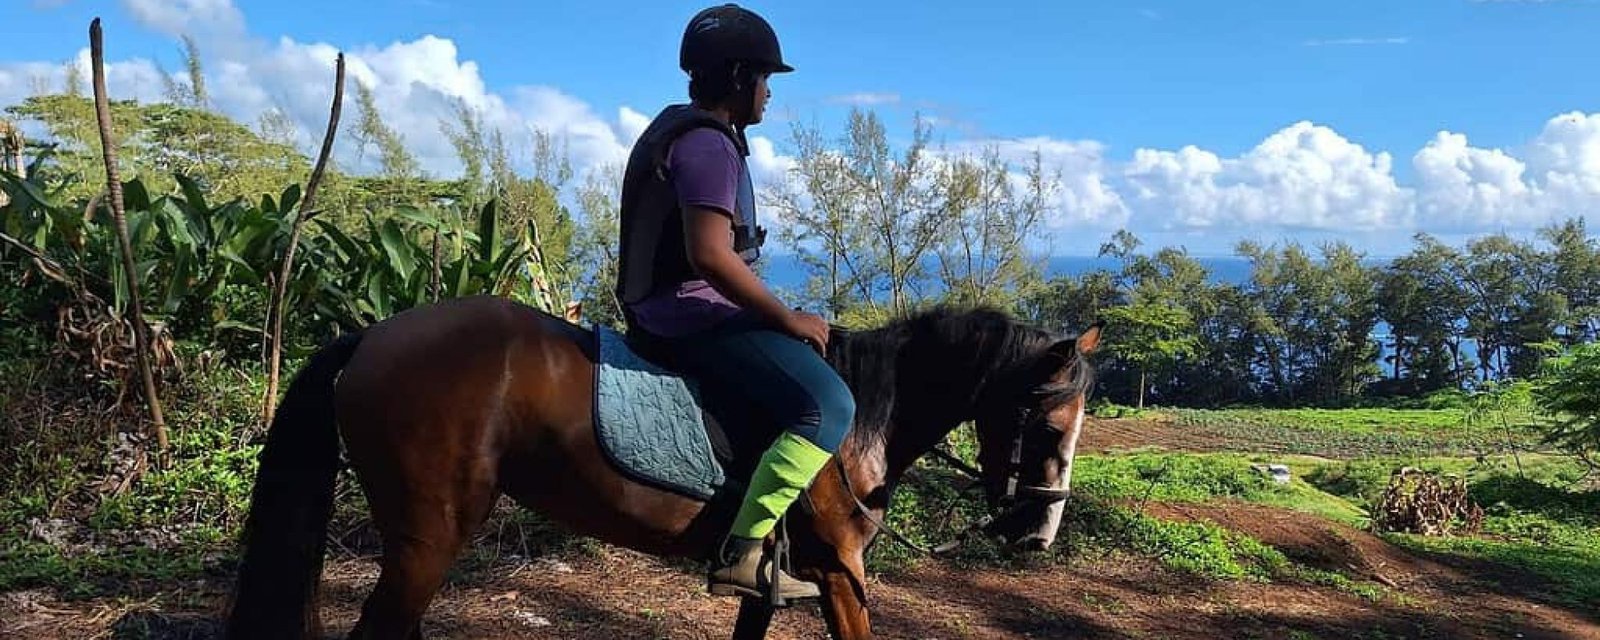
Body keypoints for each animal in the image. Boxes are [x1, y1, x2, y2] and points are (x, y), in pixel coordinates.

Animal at [222, 294, 1103, 639]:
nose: (1040, 533)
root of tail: (373, 336)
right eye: (1050, 419)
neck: (865, 417)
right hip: (427, 539)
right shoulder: (841, 573)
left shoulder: (777, 584)